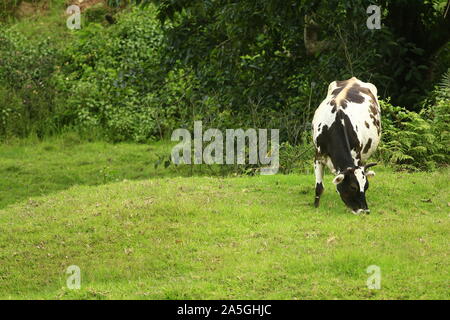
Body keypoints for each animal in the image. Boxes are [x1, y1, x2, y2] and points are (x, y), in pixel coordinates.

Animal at [312, 76, 380, 214]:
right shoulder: (318, 157)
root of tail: (353, 79)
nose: (365, 211)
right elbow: (319, 187)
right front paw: (316, 206)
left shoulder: (357, 157)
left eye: (366, 186)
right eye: (353, 187)